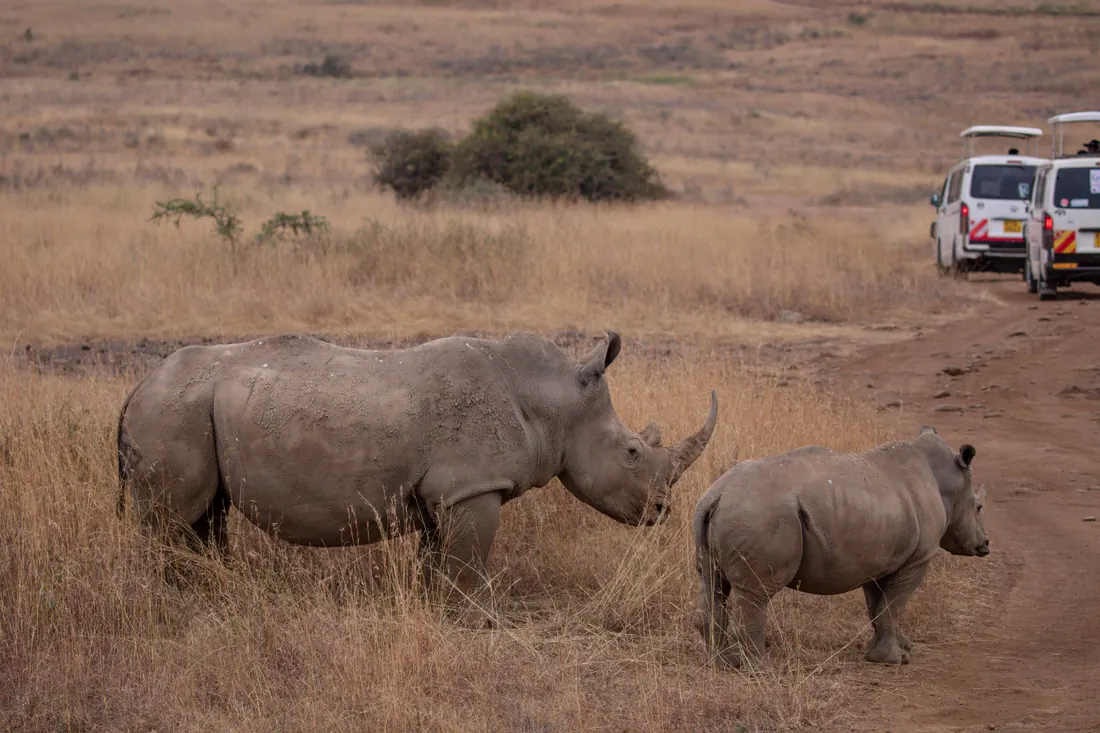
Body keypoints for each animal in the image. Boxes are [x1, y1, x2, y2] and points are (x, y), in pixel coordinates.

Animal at [117, 331, 718, 618]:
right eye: (633, 451)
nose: (661, 511)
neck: (550, 402)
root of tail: (137, 386)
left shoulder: (443, 494)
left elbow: (437, 561)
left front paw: (436, 608)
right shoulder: (472, 488)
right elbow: (469, 561)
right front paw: (474, 619)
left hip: (192, 409)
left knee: (206, 516)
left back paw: (209, 593)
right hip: (174, 408)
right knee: (172, 521)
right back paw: (168, 604)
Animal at [692, 426, 988, 668]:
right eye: (979, 507)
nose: (985, 545)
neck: (945, 482)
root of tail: (717, 494)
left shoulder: (879, 558)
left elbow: (878, 607)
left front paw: (894, 650)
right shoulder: (917, 559)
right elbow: (893, 606)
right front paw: (895, 659)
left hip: (720, 513)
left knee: (712, 582)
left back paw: (724, 664)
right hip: (760, 515)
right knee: (755, 594)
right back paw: (762, 669)